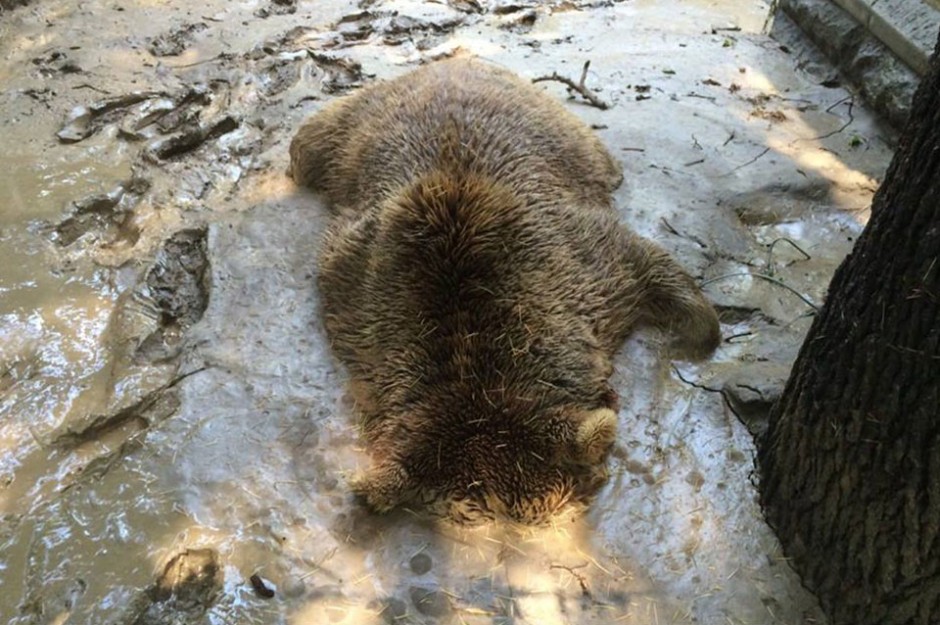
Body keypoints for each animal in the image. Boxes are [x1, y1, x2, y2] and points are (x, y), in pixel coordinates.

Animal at [286, 57, 720, 520]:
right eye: (472, 512)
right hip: (348, 133)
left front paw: (703, 329)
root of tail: (448, 61)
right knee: (308, 145)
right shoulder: (356, 287)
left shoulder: (581, 260)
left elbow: (647, 264)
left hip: (558, 128)